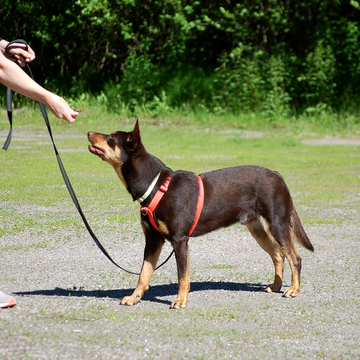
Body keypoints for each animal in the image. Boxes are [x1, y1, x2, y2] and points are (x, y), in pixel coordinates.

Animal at [87, 121, 312, 310]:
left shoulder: (180, 241)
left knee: (294, 257)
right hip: (258, 229)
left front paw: (180, 300)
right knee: (278, 255)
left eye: (111, 137)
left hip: (278, 224)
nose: (88, 132)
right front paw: (134, 298)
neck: (155, 185)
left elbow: (182, 276)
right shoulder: (153, 240)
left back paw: (293, 289)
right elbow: (144, 273)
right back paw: (276, 285)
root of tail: (278, 176)